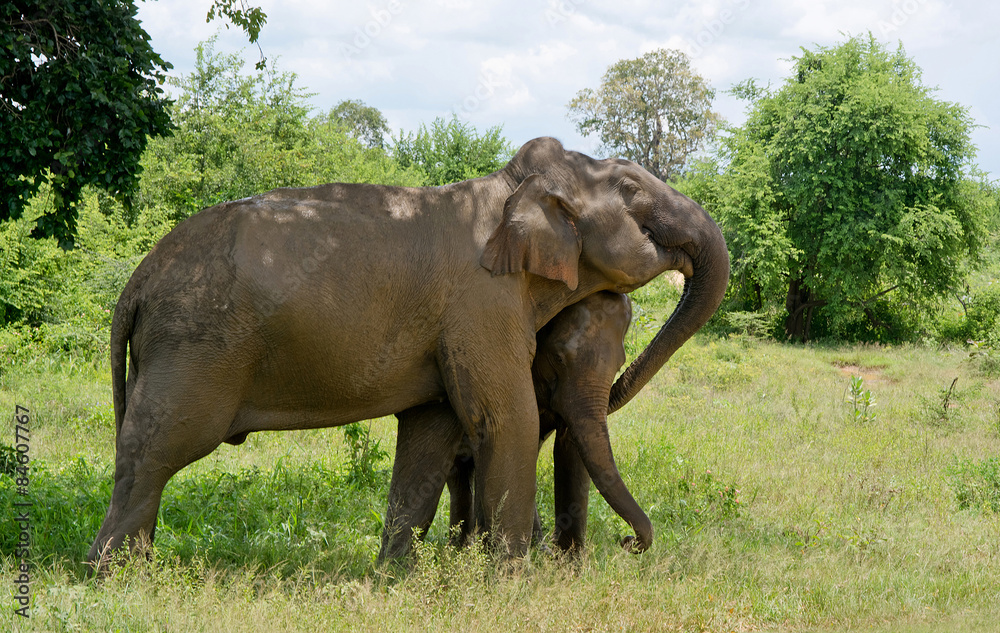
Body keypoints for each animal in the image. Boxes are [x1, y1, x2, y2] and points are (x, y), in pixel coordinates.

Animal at [379, 291, 647, 561]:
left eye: (620, 363)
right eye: (558, 357)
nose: (628, 541)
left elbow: (567, 448)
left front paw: (567, 562)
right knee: (459, 472)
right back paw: (460, 549)